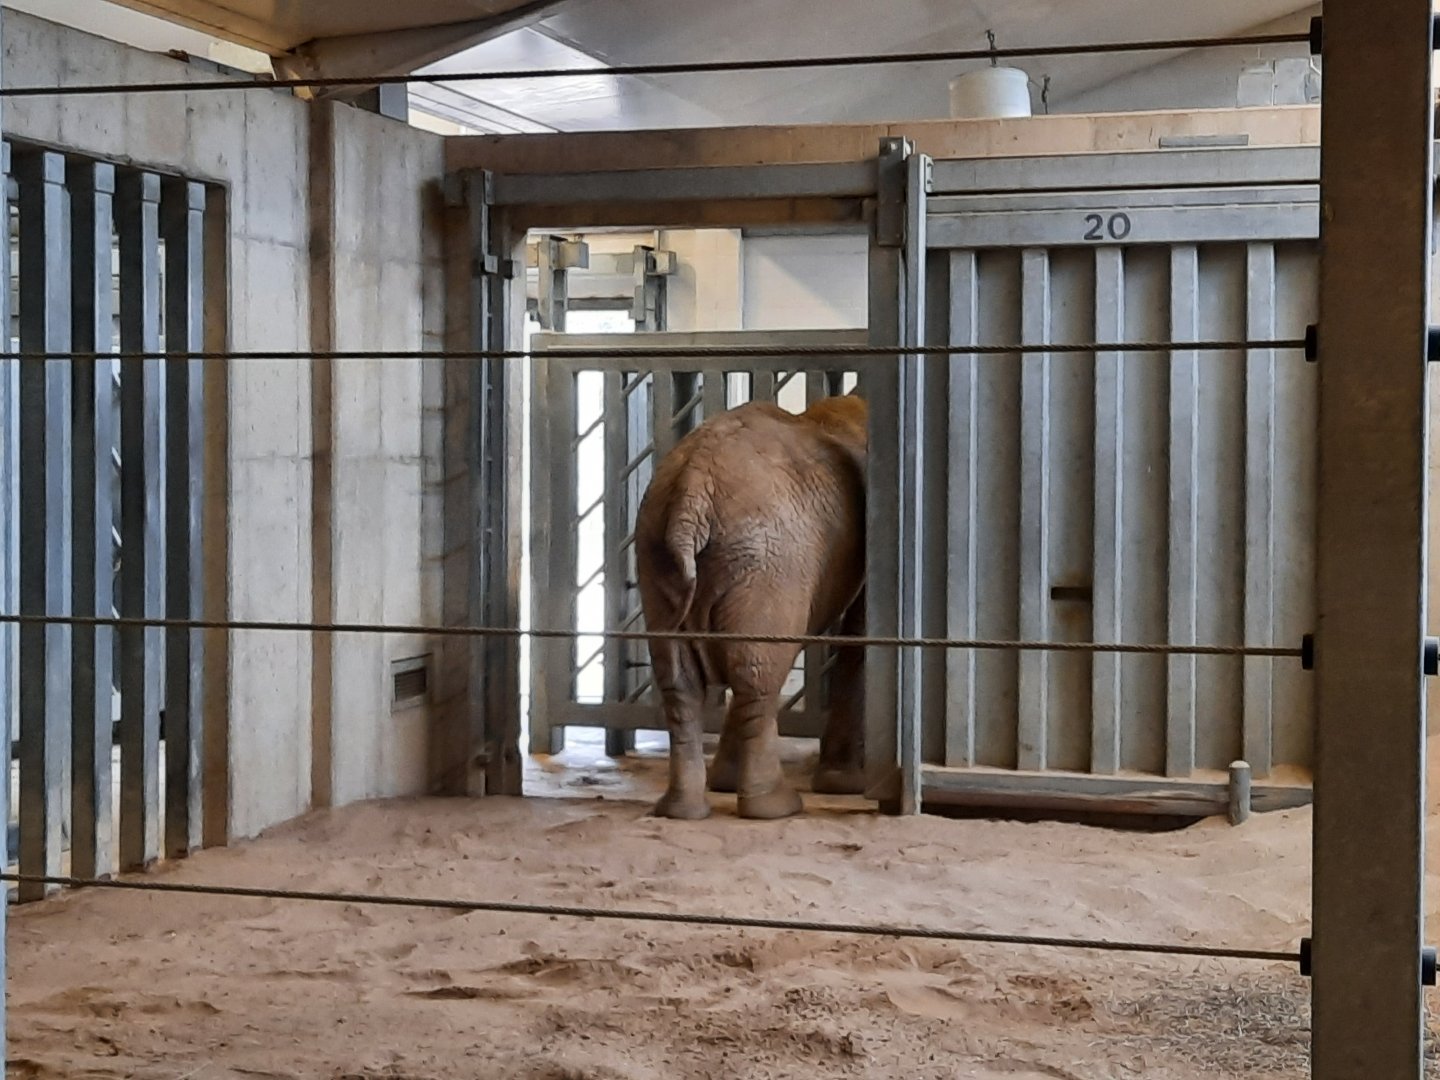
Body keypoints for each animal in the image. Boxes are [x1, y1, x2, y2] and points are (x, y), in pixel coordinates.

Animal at [634, 391, 868, 820]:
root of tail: (692, 488)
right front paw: (844, 786)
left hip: (657, 554)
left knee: (681, 679)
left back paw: (684, 810)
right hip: (768, 563)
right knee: (757, 674)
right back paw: (775, 808)